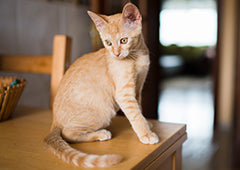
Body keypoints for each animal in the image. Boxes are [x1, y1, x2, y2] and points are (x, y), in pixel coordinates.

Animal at [44, 2, 158, 167]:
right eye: (108, 43)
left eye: (124, 40)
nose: (116, 54)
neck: (136, 57)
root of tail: (54, 122)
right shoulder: (124, 94)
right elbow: (135, 114)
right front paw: (146, 134)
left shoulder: (138, 88)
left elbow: (139, 109)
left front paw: (146, 124)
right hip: (103, 112)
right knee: (67, 133)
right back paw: (101, 133)